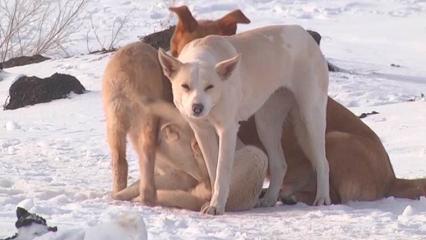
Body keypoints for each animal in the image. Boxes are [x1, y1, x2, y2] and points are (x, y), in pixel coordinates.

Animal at [158, 24, 332, 216]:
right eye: (185, 86)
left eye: (210, 86)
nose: (197, 108)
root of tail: (304, 32)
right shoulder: (202, 132)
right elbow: (213, 170)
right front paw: (213, 201)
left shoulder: (228, 130)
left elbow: (222, 172)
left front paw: (217, 205)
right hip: (266, 124)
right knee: (280, 164)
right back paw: (269, 199)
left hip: (311, 117)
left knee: (323, 163)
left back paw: (322, 198)